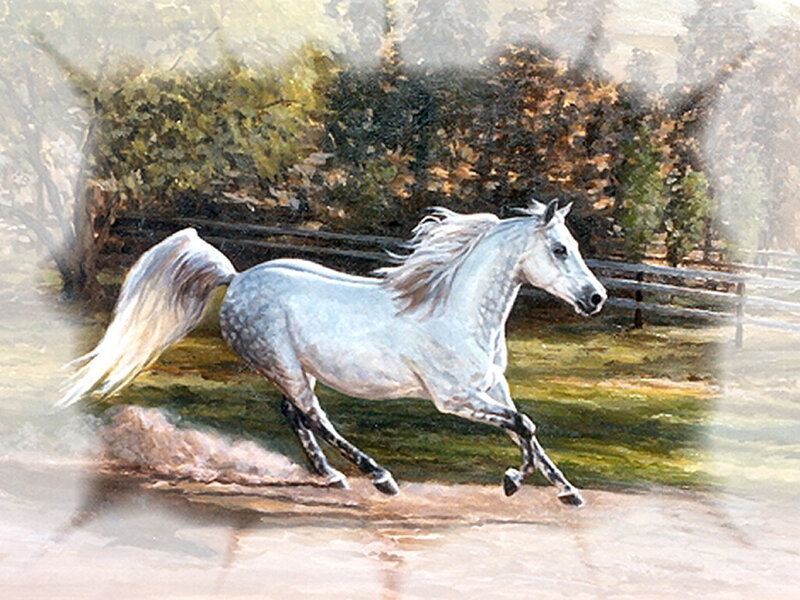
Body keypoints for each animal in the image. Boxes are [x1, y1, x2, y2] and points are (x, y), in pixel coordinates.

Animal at [59, 199, 606, 506]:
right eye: (559, 249)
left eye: (574, 245)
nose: (596, 298)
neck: (454, 310)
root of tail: (236, 277)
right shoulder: (454, 399)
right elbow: (525, 427)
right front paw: (515, 482)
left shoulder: (494, 387)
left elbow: (527, 430)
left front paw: (566, 491)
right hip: (283, 364)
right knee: (312, 415)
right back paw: (377, 477)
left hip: (297, 369)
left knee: (295, 414)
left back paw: (331, 476)